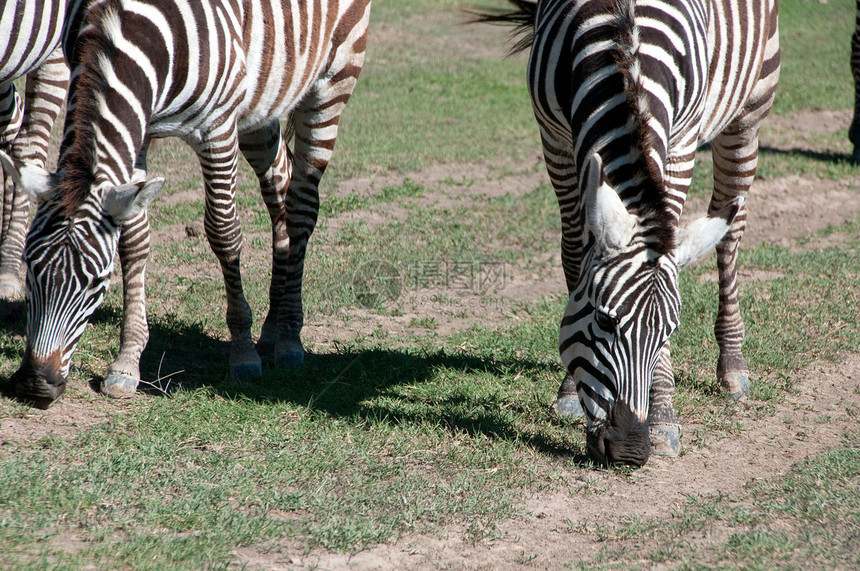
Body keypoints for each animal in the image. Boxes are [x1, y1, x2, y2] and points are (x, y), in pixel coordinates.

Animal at [478, 0, 780, 466]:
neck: (623, 38)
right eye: (603, 319)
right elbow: (573, 253)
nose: (631, 450)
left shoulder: (682, 143)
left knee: (730, 226)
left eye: (670, 331)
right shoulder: (555, 139)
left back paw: (732, 365)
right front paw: (569, 391)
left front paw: (663, 417)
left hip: (751, 107)